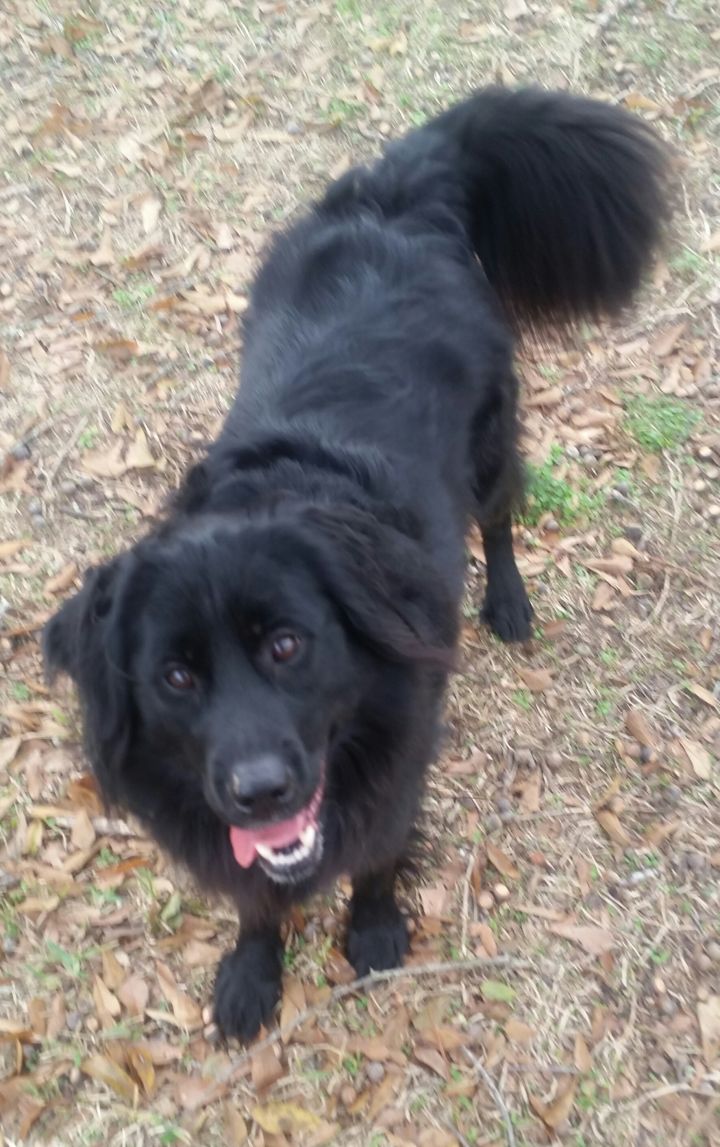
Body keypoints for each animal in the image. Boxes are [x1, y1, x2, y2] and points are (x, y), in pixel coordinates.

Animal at [42, 89, 664, 1041]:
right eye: (176, 677)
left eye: (288, 645)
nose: (260, 791)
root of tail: (390, 197)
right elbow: (256, 894)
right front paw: (254, 970)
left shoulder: (401, 760)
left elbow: (377, 857)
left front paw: (371, 930)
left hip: (489, 450)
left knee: (501, 518)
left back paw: (509, 602)